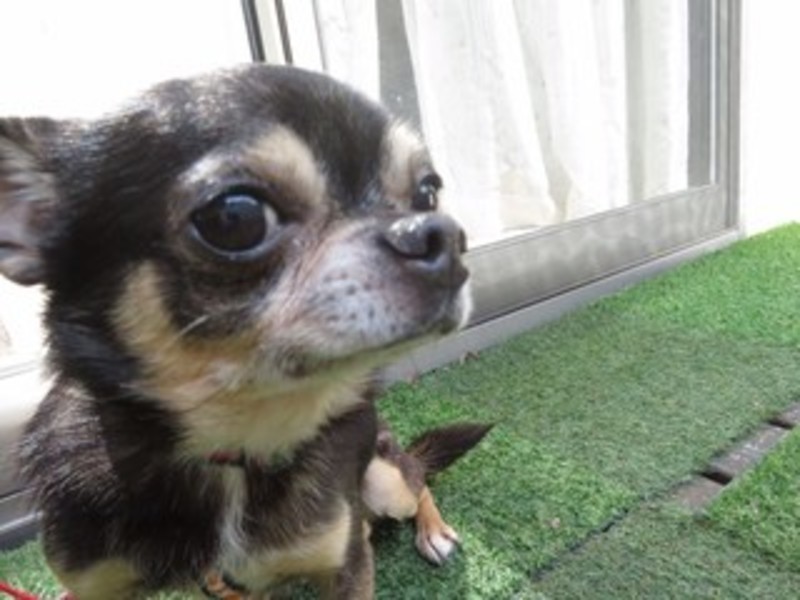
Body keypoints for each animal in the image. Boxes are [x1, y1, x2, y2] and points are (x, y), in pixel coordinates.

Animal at [0, 64, 490, 599]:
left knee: (417, 479)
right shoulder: (94, 583)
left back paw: (434, 529)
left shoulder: (347, 567)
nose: (443, 233)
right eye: (234, 217)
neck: (235, 450)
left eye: (427, 193)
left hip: (384, 481)